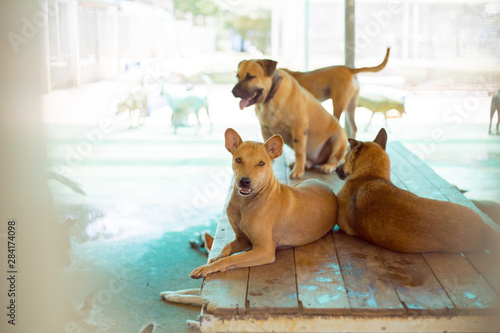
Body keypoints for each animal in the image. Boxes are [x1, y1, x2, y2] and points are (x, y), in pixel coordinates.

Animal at [189, 127, 338, 278]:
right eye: (238, 160)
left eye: (261, 163)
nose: (244, 181)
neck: (245, 203)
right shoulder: (242, 239)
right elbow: (226, 247)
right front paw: (215, 257)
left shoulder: (264, 250)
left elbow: (231, 259)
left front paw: (207, 267)